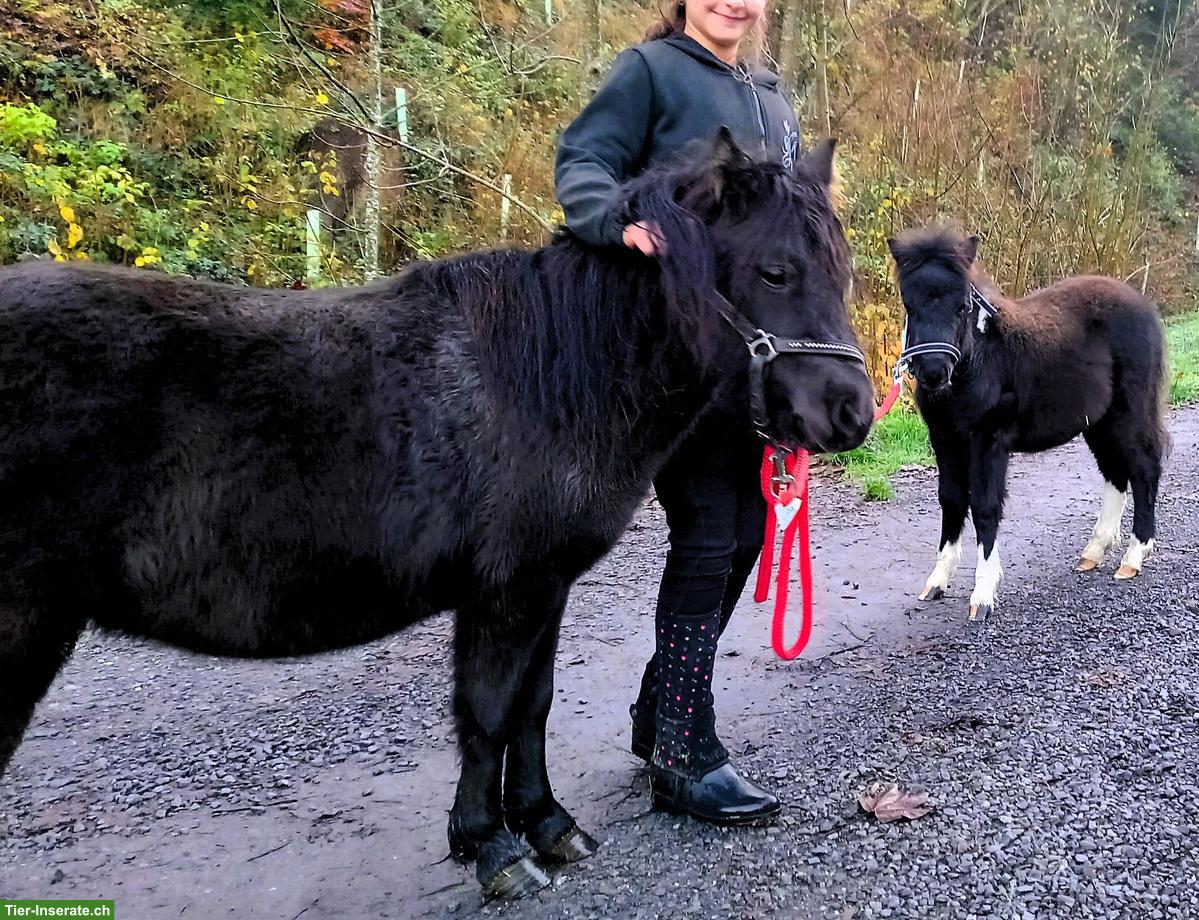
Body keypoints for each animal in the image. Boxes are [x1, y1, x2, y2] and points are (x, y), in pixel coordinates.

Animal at [0, 132, 875, 899]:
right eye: (775, 271)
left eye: (841, 271)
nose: (850, 414)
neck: (549, 373)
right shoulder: (505, 593)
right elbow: (486, 715)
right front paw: (492, 849)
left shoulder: (545, 589)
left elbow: (532, 706)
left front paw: (546, 824)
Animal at [887, 226, 1167, 623]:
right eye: (909, 304)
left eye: (962, 306)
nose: (933, 372)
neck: (980, 361)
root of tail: (1143, 305)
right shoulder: (944, 439)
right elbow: (951, 500)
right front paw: (937, 581)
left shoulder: (989, 440)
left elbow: (985, 507)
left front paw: (983, 595)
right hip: (1098, 422)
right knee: (1116, 472)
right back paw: (1093, 552)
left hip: (1129, 413)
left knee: (1144, 469)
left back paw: (1133, 557)